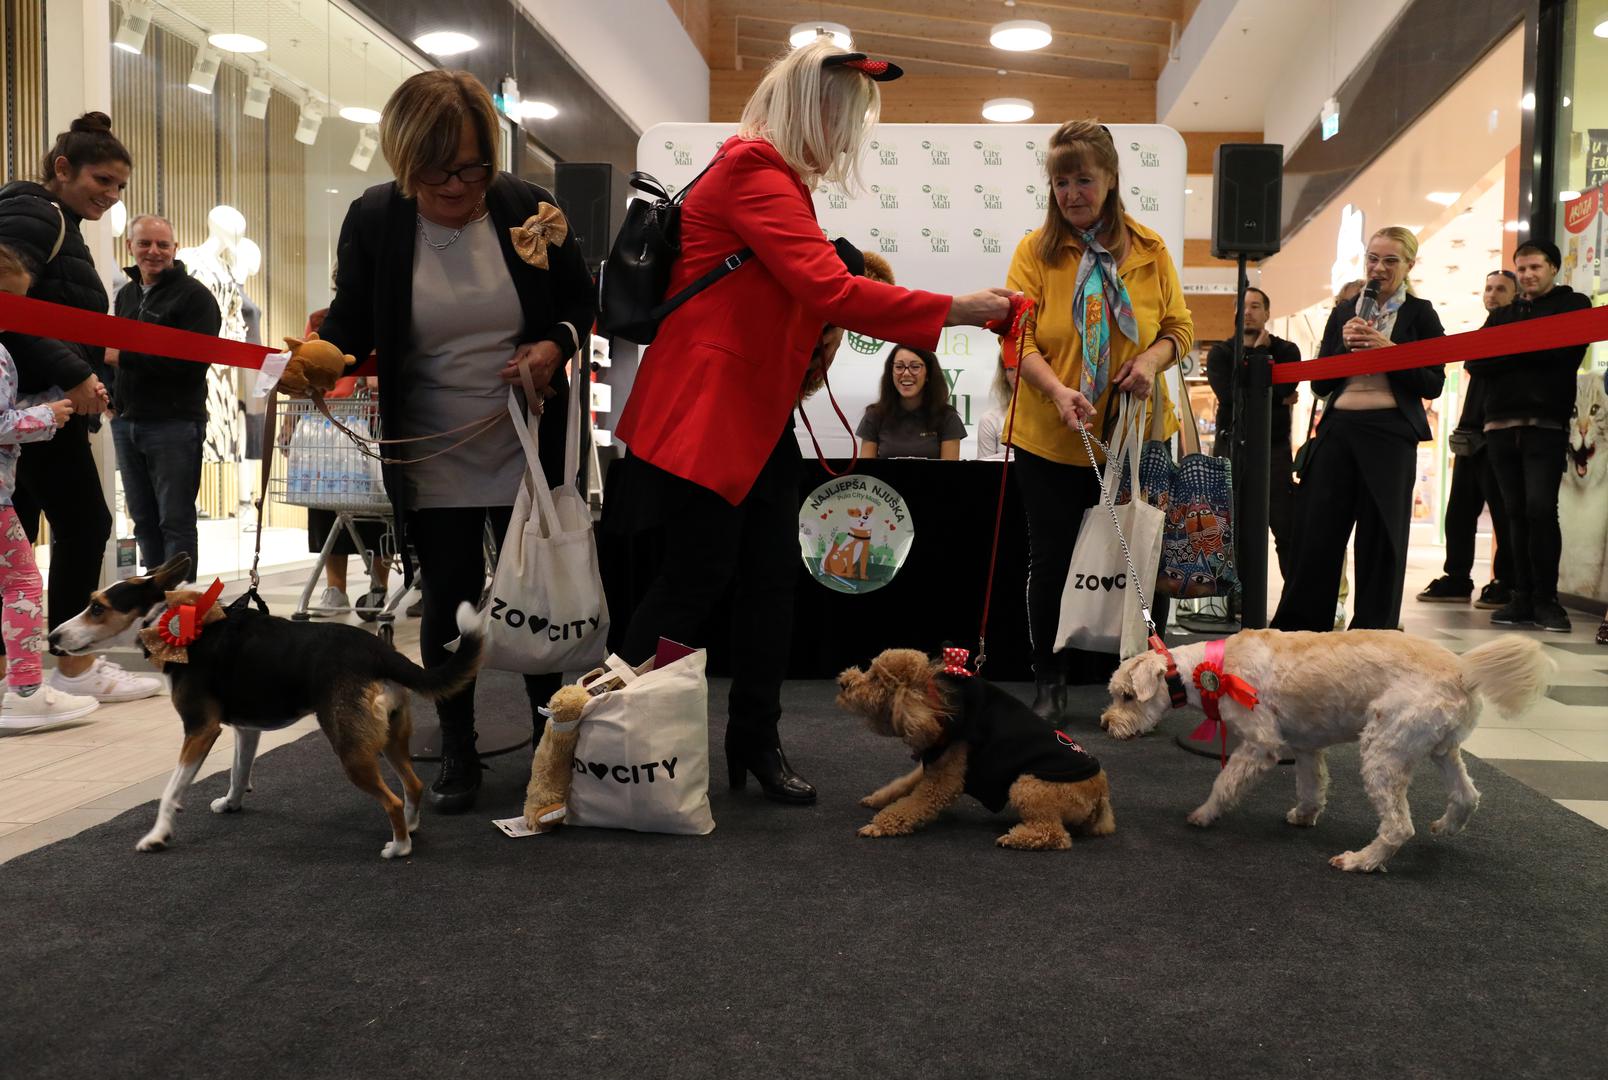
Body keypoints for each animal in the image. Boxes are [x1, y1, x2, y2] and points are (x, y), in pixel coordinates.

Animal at [53, 556, 485, 861]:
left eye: (97, 608)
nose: (53, 637)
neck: (171, 621)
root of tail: (378, 651)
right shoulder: (247, 729)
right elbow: (238, 770)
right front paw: (231, 803)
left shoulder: (200, 728)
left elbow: (171, 790)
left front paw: (157, 836)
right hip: (389, 734)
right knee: (412, 785)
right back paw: (411, 827)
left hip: (350, 746)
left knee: (392, 798)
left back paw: (398, 847)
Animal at [1099, 633, 1550, 867]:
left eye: (1127, 696)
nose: (1105, 724)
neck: (1211, 670)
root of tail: (1462, 672)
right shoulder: (1305, 747)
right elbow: (1311, 787)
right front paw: (1304, 816)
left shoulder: (1260, 745)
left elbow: (1223, 784)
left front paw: (1204, 815)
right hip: (1442, 750)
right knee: (1467, 796)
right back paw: (1446, 826)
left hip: (1382, 754)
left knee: (1399, 826)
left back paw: (1360, 861)